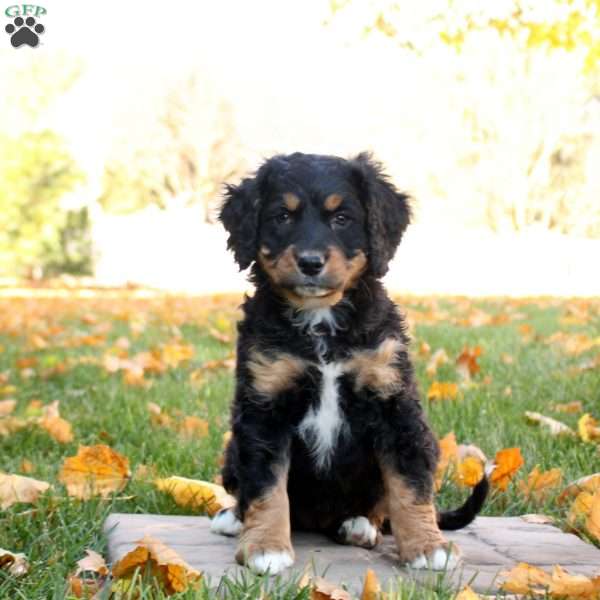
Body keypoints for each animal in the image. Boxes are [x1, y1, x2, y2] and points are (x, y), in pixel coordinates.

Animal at [211, 152, 488, 576]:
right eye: (281, 216)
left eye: (341, 218)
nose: (310, 262)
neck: (321, 322)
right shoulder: (264, 406)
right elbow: (265, 485)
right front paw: (265, 546)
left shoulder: (394, 403)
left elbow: (409, 483)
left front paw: (428, 547)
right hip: (232, 447)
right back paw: (234, 519)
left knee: (379, 505)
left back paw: (359, 525)